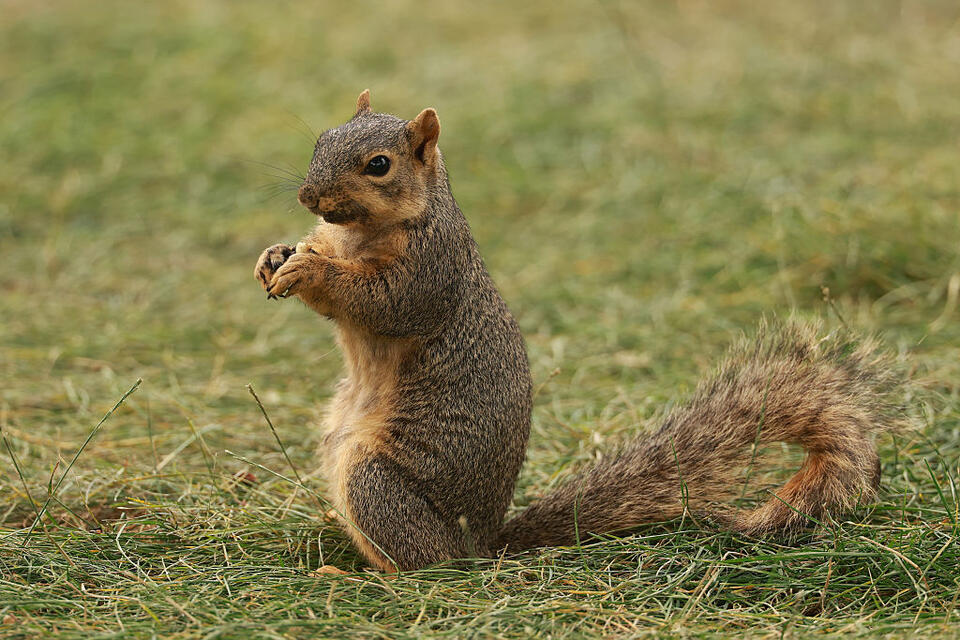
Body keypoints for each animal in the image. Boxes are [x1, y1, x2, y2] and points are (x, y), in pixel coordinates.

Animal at [253, 90, 905, 572]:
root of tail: (481, 547)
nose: (308, 195)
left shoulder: (432, 270)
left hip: (378, 484)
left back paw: (365, 576)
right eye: (321, 139)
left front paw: (310, 270)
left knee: (423, 566)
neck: (359, 233)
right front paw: (275, 256)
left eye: (379, 165)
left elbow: (384, 304)